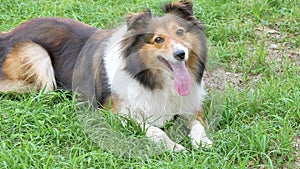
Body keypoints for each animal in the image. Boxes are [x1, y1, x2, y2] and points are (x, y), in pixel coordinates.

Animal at [0, 0, 212, 151]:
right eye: (158, 39)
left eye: (180, 32)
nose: (180, 54)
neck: (154, 81)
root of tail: (7, 33)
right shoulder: (114, 114)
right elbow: (153, 129)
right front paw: (172, 145)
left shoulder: (191, 106)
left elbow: (198, 125)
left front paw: (203, 141)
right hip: (38, 55)